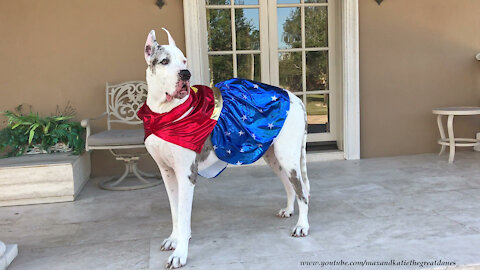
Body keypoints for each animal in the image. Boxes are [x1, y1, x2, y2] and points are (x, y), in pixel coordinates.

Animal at [142, 28, 312, 268]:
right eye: (165, 61)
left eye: (184, 60)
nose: (185, 74)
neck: (164, 113)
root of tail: (296, 99)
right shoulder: (167, 173)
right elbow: (176, 212)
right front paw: (174, 239)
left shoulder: (186, 174)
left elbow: (184, 216)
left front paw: (180, 253)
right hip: (274, 157)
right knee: (290, 186)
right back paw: (288, 210)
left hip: (287, 157)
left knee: (302, 191)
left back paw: (302, 225)